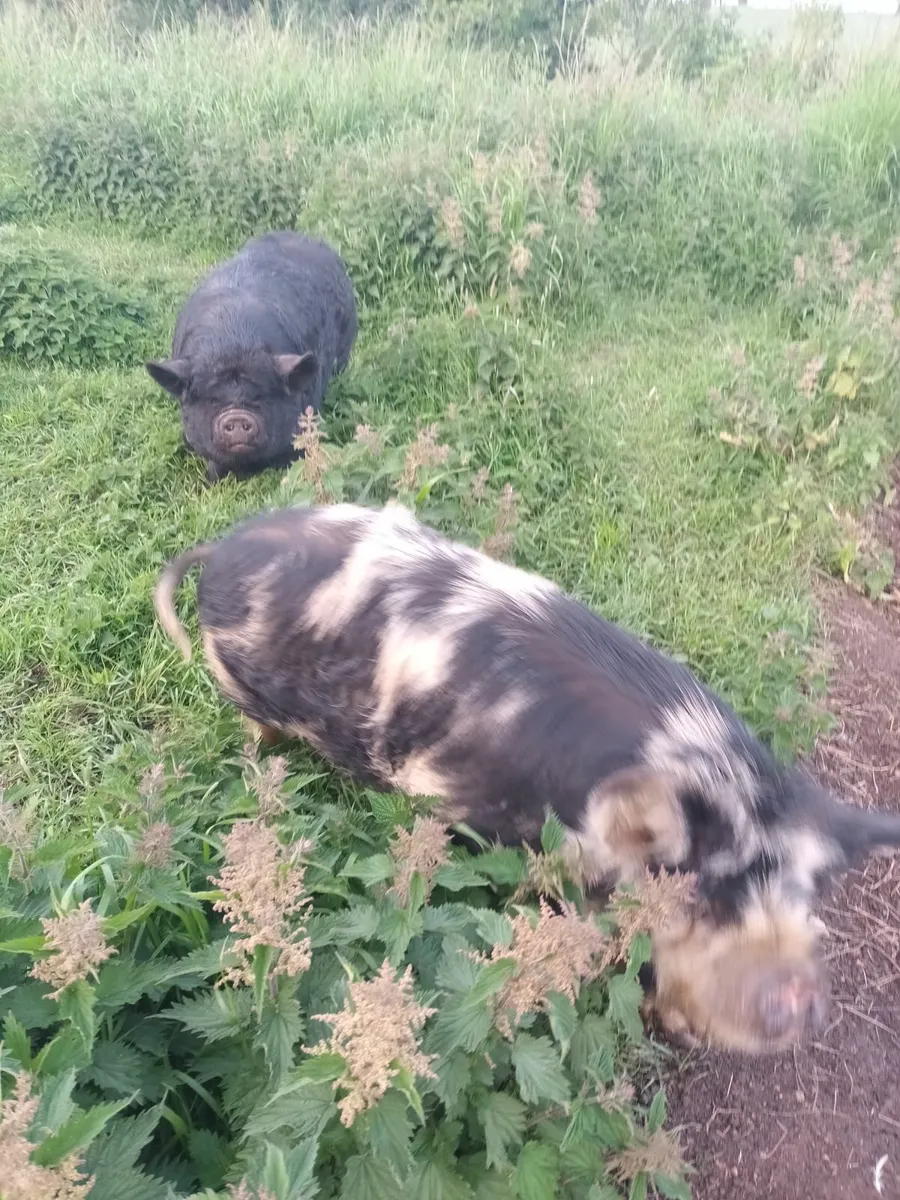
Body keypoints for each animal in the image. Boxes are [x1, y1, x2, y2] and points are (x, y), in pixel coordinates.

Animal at [153, 501, 900, 1053]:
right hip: (240, 685)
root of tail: (220, 549)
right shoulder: (459, 805)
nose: (800, 1000)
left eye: (809, 894)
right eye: (696, 896)